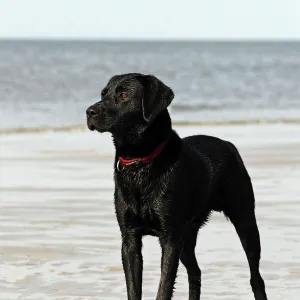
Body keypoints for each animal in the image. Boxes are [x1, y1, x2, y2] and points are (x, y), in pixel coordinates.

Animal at [85, 73, 268, 300]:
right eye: (103, 94)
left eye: (124, 94)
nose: (89, 111)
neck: (141, 163)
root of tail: (229, 145)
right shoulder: (129, 239)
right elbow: (134, 289)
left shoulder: (170, 238)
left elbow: (164, 287)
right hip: (187, 236)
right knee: (195, 272)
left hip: (244, 219)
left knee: (255, 276)